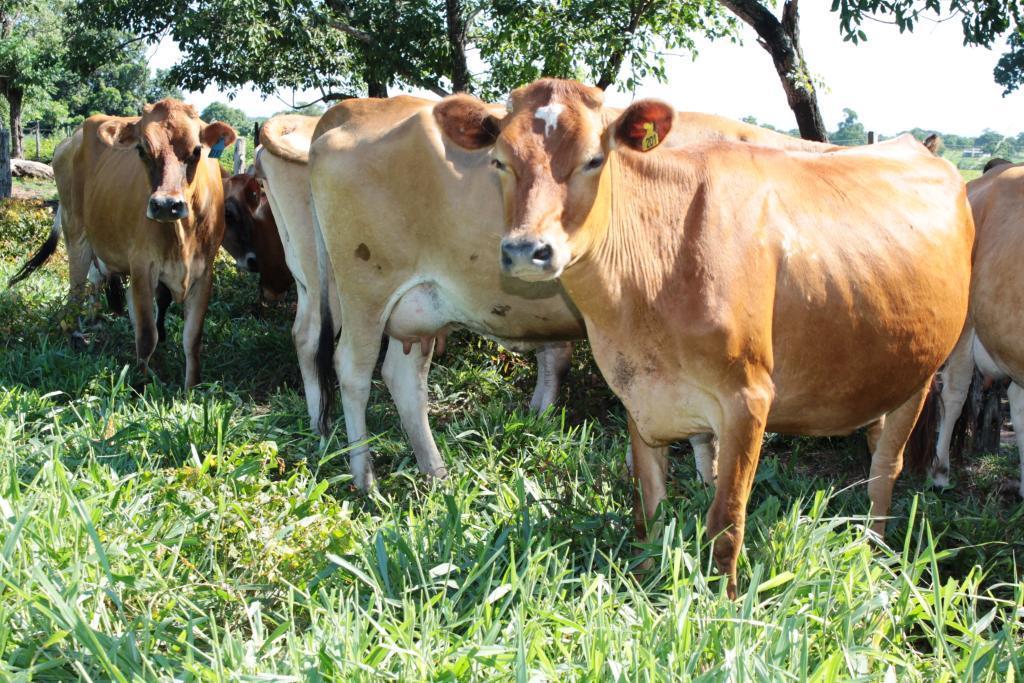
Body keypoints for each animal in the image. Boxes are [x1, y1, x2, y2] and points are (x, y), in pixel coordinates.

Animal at [9, 99, 236, 387]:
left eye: (197, 150)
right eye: (141, 149)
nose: (166, 205)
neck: (181, 235)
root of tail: (72, 138)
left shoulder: (204, 271)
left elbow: (192, 339)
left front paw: (191, 388)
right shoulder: (142, 266)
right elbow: (147, 335)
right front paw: (143, 384)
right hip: (76, 230)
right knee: (76, 291)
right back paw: (77, 337)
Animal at [309, 95, 842, 490]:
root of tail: (351, 110)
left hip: (422, 306)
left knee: (404, 381)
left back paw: (436, 473)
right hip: (365, 287)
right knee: (352, 371)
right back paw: (365, 480)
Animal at [433, 78, 973, 598]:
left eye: (593, 159)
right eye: (500, 160)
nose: (528, 250)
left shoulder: (748, 398)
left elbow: (726, 521)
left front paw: (725, 606)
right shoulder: (639, 395)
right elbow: (648, 509)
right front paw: (644, 585)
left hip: (922, 371)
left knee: (886, 466)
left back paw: (874, 553)